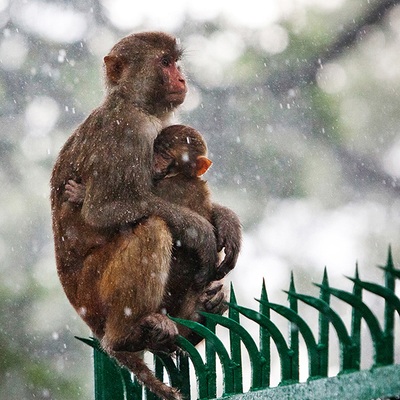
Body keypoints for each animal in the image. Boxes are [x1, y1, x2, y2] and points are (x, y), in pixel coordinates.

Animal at [67, 126, 227, 344]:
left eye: (165, 155)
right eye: (155, 150)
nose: (153, 162)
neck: (184, 176)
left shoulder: (168, 187)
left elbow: (124, 214)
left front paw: (82, 194)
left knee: (153, 226)